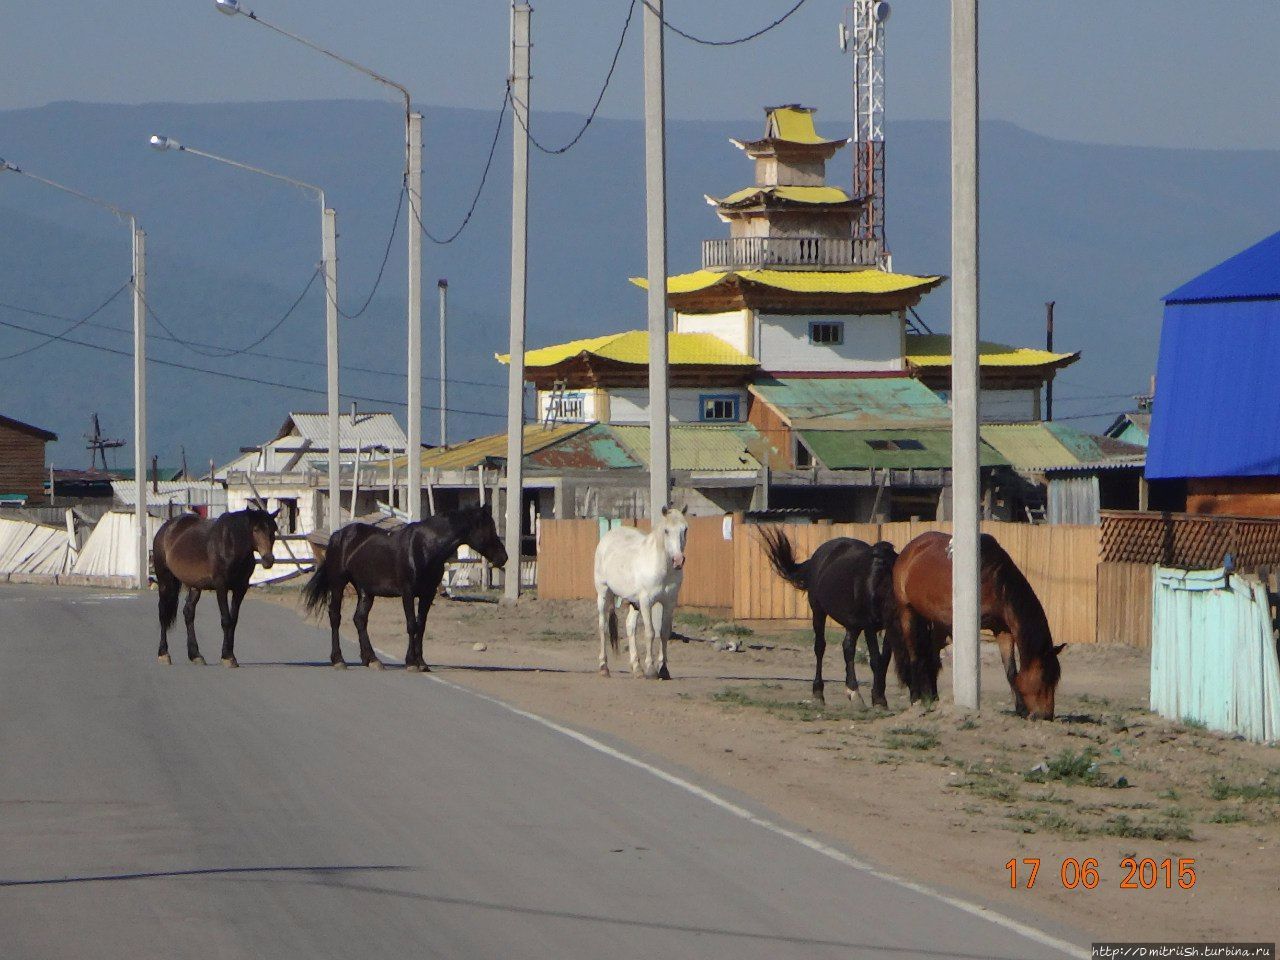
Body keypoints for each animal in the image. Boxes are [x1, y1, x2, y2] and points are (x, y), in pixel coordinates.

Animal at [153, 512, 279, 670]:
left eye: (273, 530)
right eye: (255, 529)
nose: (268, 559)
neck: (230, 545)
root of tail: (165, 528)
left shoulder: (240, 589)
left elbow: (233, 621)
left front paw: (231, 655)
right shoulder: (221, 587)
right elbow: (226, 620)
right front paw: (227, 657)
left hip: (195, 586)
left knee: (188, 613)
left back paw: (195, 655)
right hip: (164, 580)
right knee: (163, 614)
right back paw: (163, 654)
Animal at [302, 506, 506, 670]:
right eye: (488, 529)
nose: (503, 557)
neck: (424, 548)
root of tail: (338, 535)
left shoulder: (427, 595)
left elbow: (421, 625)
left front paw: (422, 662)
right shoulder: (407, 593)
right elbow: (411, 625)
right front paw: (411, 662)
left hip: (365, 590)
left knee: (360, 619)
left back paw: (372, 660)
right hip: (338, 584)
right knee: (335, 617)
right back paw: (339, 660)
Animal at [591, 506, 691, 680]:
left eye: (684, 529)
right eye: (666, 531)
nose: (678, 560)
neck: (661, 567)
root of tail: (608, 537)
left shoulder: (669, 603)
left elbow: (664, 632)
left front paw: (664, 670)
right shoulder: (646, 602)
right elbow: (650, 632)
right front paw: (651, 669)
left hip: (634, 602)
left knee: (630, 626)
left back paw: (637, 668)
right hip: (604, 593)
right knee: (602, 626)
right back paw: (604, 667)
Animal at [757, 529, 901, 711]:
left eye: (887, 568)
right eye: (872, 564)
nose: (870, 599)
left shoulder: (889, 627)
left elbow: (884, 660)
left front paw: (879, 697)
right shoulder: (869, 626)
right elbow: (875, 659)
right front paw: (878, 699)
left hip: (853, 624)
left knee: (848, 648)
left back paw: (853, 691)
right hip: (819, 612)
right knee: (820, 648)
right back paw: (818, 693)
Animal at [890, 535, 1059, 721]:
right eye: (1044, 677)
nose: (1047, 715)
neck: (994, 581)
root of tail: (910, 548)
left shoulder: (1003, 631)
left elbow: (1011, 672)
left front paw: (1020, 709)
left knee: (931, 657)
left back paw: (933, 697)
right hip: (908, 612)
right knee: (915, 655)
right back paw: (916, 698)